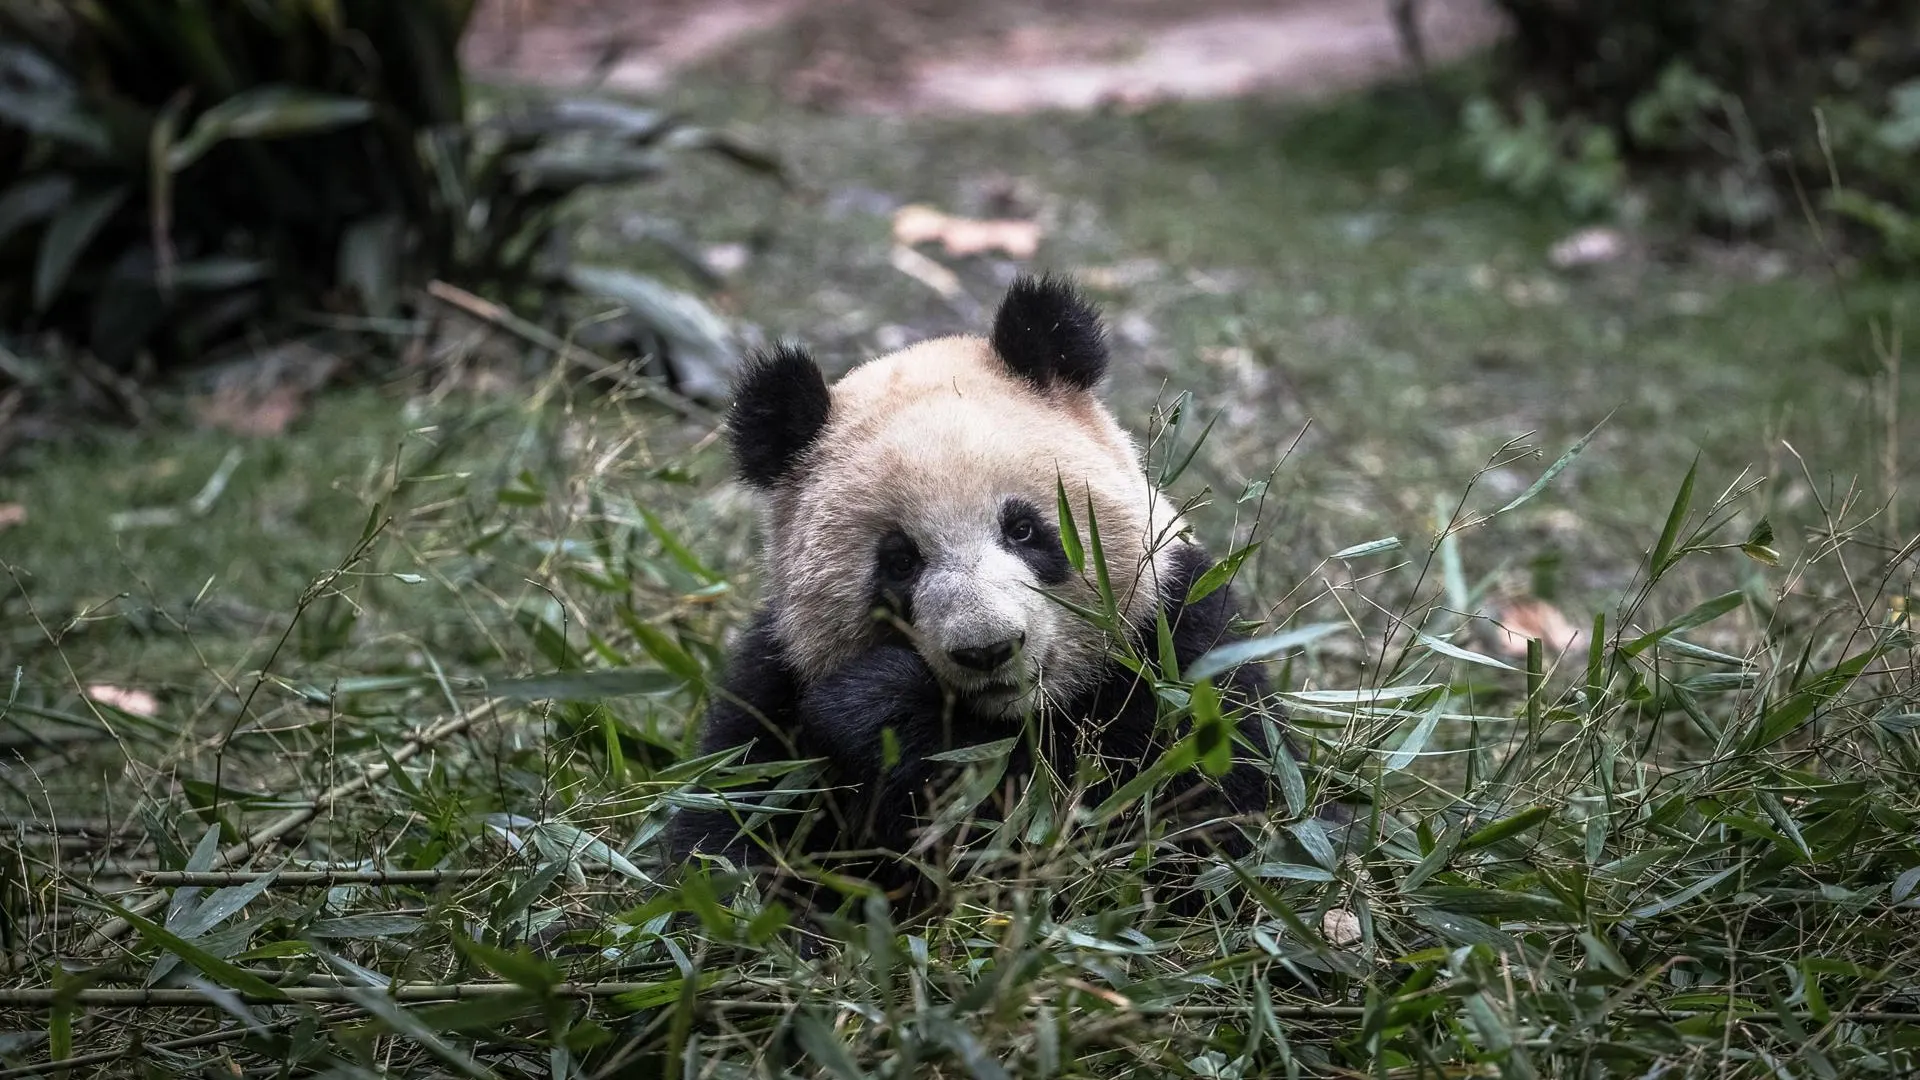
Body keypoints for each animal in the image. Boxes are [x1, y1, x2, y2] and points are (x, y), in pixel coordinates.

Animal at [664, 272, 1305, 903]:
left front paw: (888, 707)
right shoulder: (774, 691)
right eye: (900, 562)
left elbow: (1198, 824)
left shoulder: (1179, 641)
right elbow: (730, 842)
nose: (988, 649)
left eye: (1023, 529)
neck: (1012, 718)